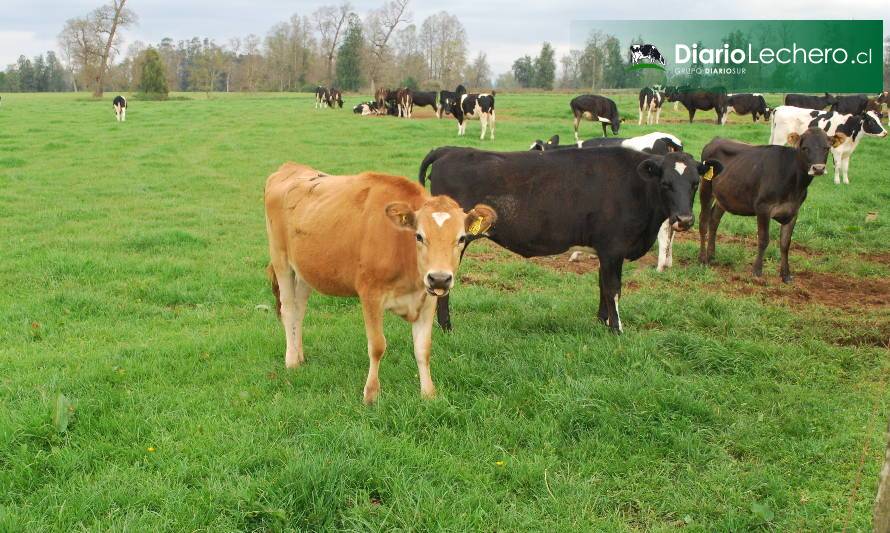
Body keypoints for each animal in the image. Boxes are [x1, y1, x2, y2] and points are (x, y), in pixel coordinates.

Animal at [264, 162, 500, 404]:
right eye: (419, 236)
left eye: (461, 238)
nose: (440, 278)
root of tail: (291, 167)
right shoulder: (370, 294)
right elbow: (377, 345)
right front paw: (371, 394)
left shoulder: (427, 299)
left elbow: (423, 348)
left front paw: (428, 393)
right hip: (281, 260)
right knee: (288, 309)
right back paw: (291, 360)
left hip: (304, 271)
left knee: (299, 310)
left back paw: (300, 354)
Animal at [418, 143, 720, 330]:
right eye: (666, 183)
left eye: (695, 183)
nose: (684, 220)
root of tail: (451, 150)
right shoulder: (613, 248)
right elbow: (614, 288)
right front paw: (617, 329)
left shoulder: (605, 250)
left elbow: (602, 286)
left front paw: (602, 322)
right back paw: (446, 327)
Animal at [696, 128, 844, 282]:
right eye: (804, 148)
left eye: (827, 148)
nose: (818, 168)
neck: (794, 185)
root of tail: (717, 139)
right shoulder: (763, 208)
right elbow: (763, 239)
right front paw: (757, 271)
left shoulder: (793, 211)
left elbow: (785, 243)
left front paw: (786, 275)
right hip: (706, 188)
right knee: (703, 221)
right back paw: (703, 259)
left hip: (725, 196)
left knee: (714, 220)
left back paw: (712, 255)